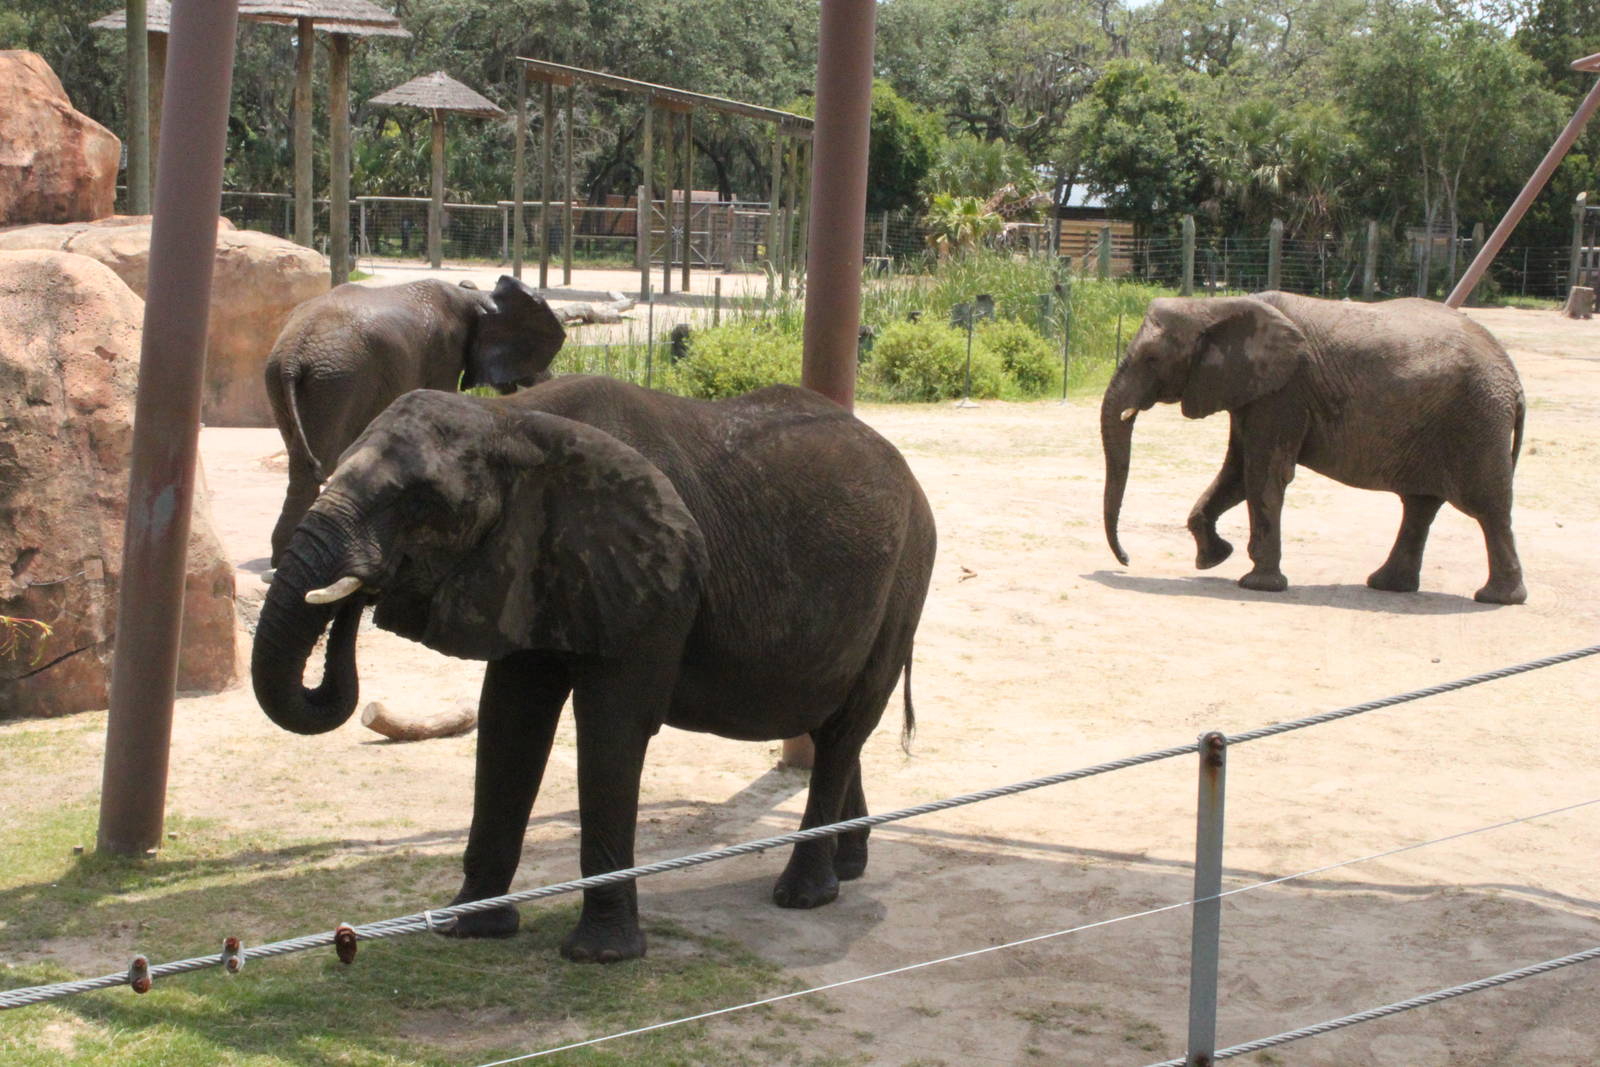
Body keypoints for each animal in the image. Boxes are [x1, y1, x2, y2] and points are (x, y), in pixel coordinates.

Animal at [251, 375, 937, 963]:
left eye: (422, 503)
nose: (357, 596)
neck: (512, 421)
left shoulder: (653, 577)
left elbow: (611, 724)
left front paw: (601, 956)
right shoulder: (530, 563)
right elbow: (511, 720)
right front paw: (469, 929)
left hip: (907, 575)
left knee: (845, 727)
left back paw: (805, 894)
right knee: (832, 727)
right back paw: (849, 867)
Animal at [264, 275, 566, 567]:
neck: (474, 296)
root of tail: (293, 354)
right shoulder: (445, 353)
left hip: (290, 379)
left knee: (301, 462)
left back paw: (281, 557)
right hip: (337, 381)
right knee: (321, 458)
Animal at [1101, 291, 1527, 604]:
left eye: (1152, 358)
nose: (1126, 560)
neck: (1215, 305)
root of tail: (1514, 379)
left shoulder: (1284, 391)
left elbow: (1263, 473)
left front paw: (1257, 584)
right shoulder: (1254, 390)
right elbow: (1237, 473)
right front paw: (1213, 559)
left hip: (1476, 420)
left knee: (1487, 507)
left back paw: (1496, 598)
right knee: (1419, 505)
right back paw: (1387, 585)